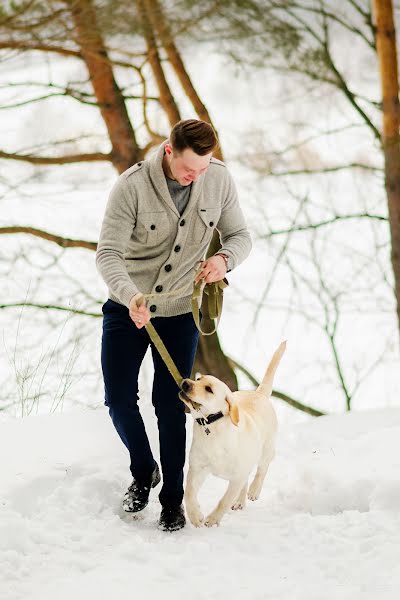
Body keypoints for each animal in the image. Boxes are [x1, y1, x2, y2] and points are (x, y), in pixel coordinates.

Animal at [180, 340, 286, 528]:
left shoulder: (236, 477)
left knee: (262, 468)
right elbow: (189, 493)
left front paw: (212, 520)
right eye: (198, 379)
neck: (212, 427)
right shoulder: (197, 468)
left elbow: (224, 501)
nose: (185, 383)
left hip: (265, 449)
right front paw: (195, 515)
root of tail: (258, 393)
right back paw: (240, 501)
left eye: (209, 389)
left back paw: (254, 490)